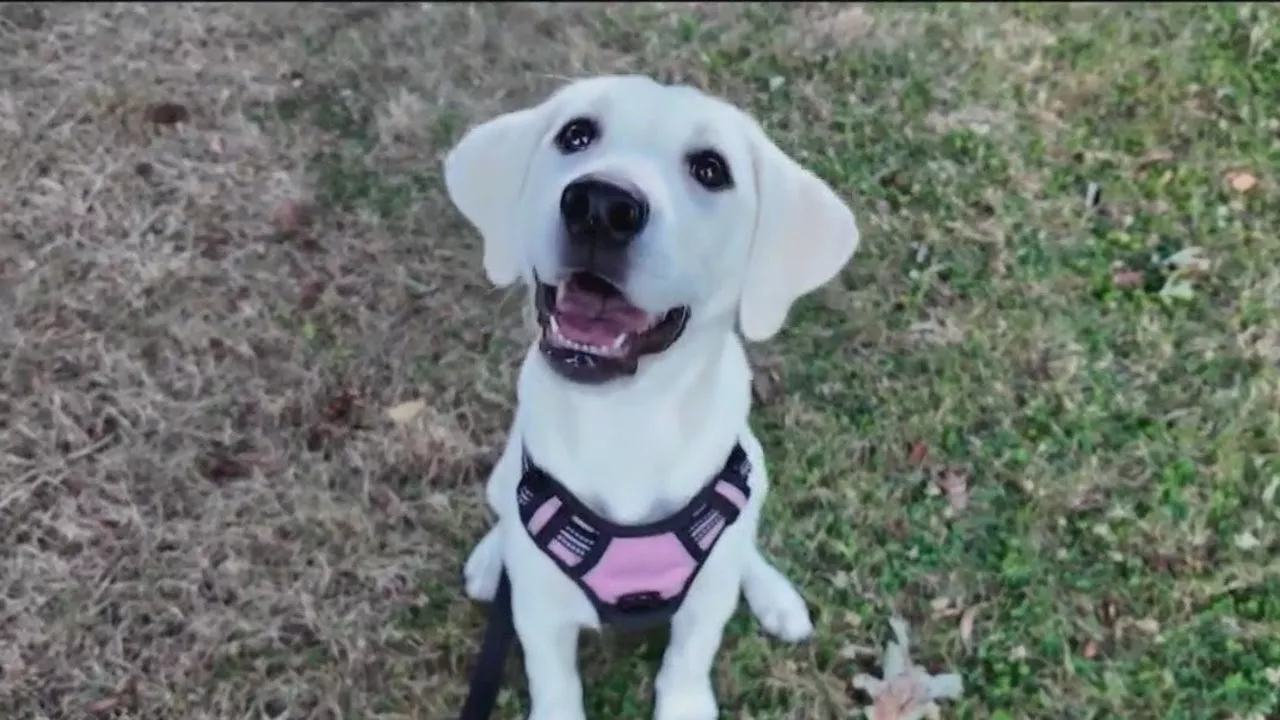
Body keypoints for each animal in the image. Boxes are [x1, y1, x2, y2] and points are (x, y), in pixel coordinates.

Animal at [442, 74, 860, 717]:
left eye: (711, 169)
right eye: (575, 135)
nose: (600, 207)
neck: (627, 422)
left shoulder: (704, 604)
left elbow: (688, 659)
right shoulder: (540, 615)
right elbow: (554, 679)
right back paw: (493, 559)